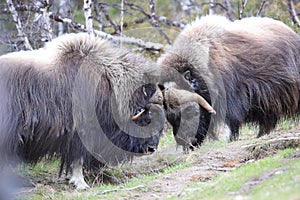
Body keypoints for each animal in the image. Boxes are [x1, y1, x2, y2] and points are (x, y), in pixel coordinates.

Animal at [0, 33, 164, 191]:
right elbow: (78, 158)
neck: (110, 85)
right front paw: (81, 183)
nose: (151, 148)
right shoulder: (82, 131)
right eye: (147, 119)